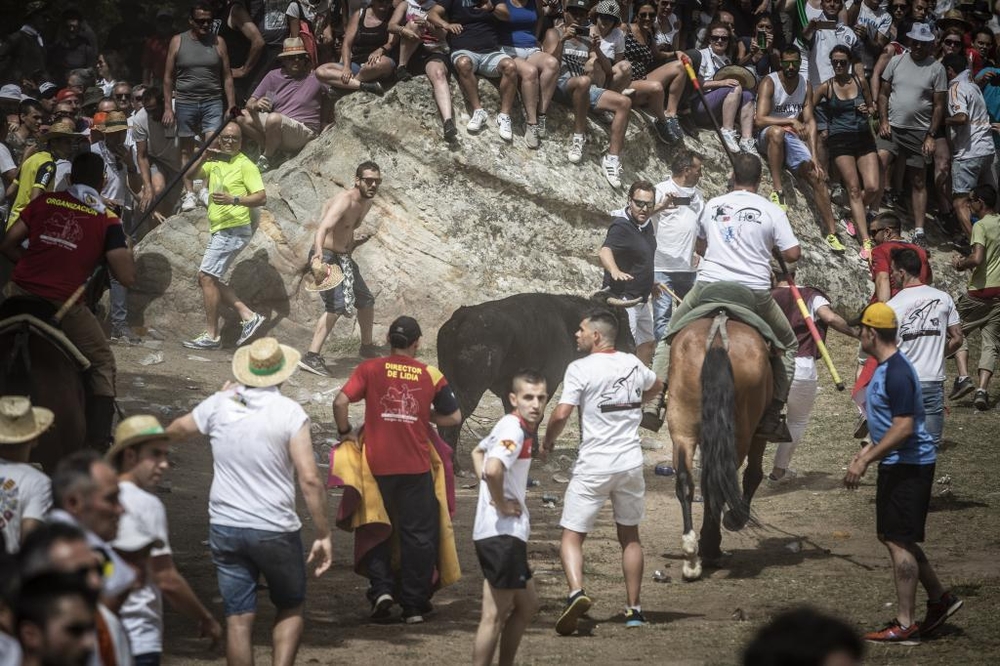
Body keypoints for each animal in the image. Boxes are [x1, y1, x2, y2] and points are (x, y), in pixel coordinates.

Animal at [434, 294, 636, 454]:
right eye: (621, 320)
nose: (632, 347)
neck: (567, 321)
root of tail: (460, 318)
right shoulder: (550, 380)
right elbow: (537, 415)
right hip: (470, 390)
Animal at [672, 310, 772, 576]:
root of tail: (717, 339)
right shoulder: (759, 434)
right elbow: (753, 474)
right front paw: (737, 518)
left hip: (682, 427)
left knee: (686, 481)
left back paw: (691, 556)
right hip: (742, 433)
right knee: (718, 482)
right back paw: (711, 548)